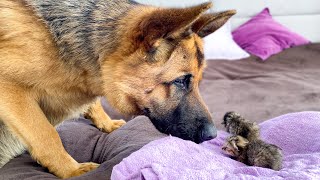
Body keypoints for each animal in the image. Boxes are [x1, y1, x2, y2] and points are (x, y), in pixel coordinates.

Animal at [0, 0, 235, 177]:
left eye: (198, 81)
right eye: (180, 81)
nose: (213, 136)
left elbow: (93, 104)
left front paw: (107, 123)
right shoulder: (10, 89)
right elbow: (45, 133)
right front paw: (71, 170)